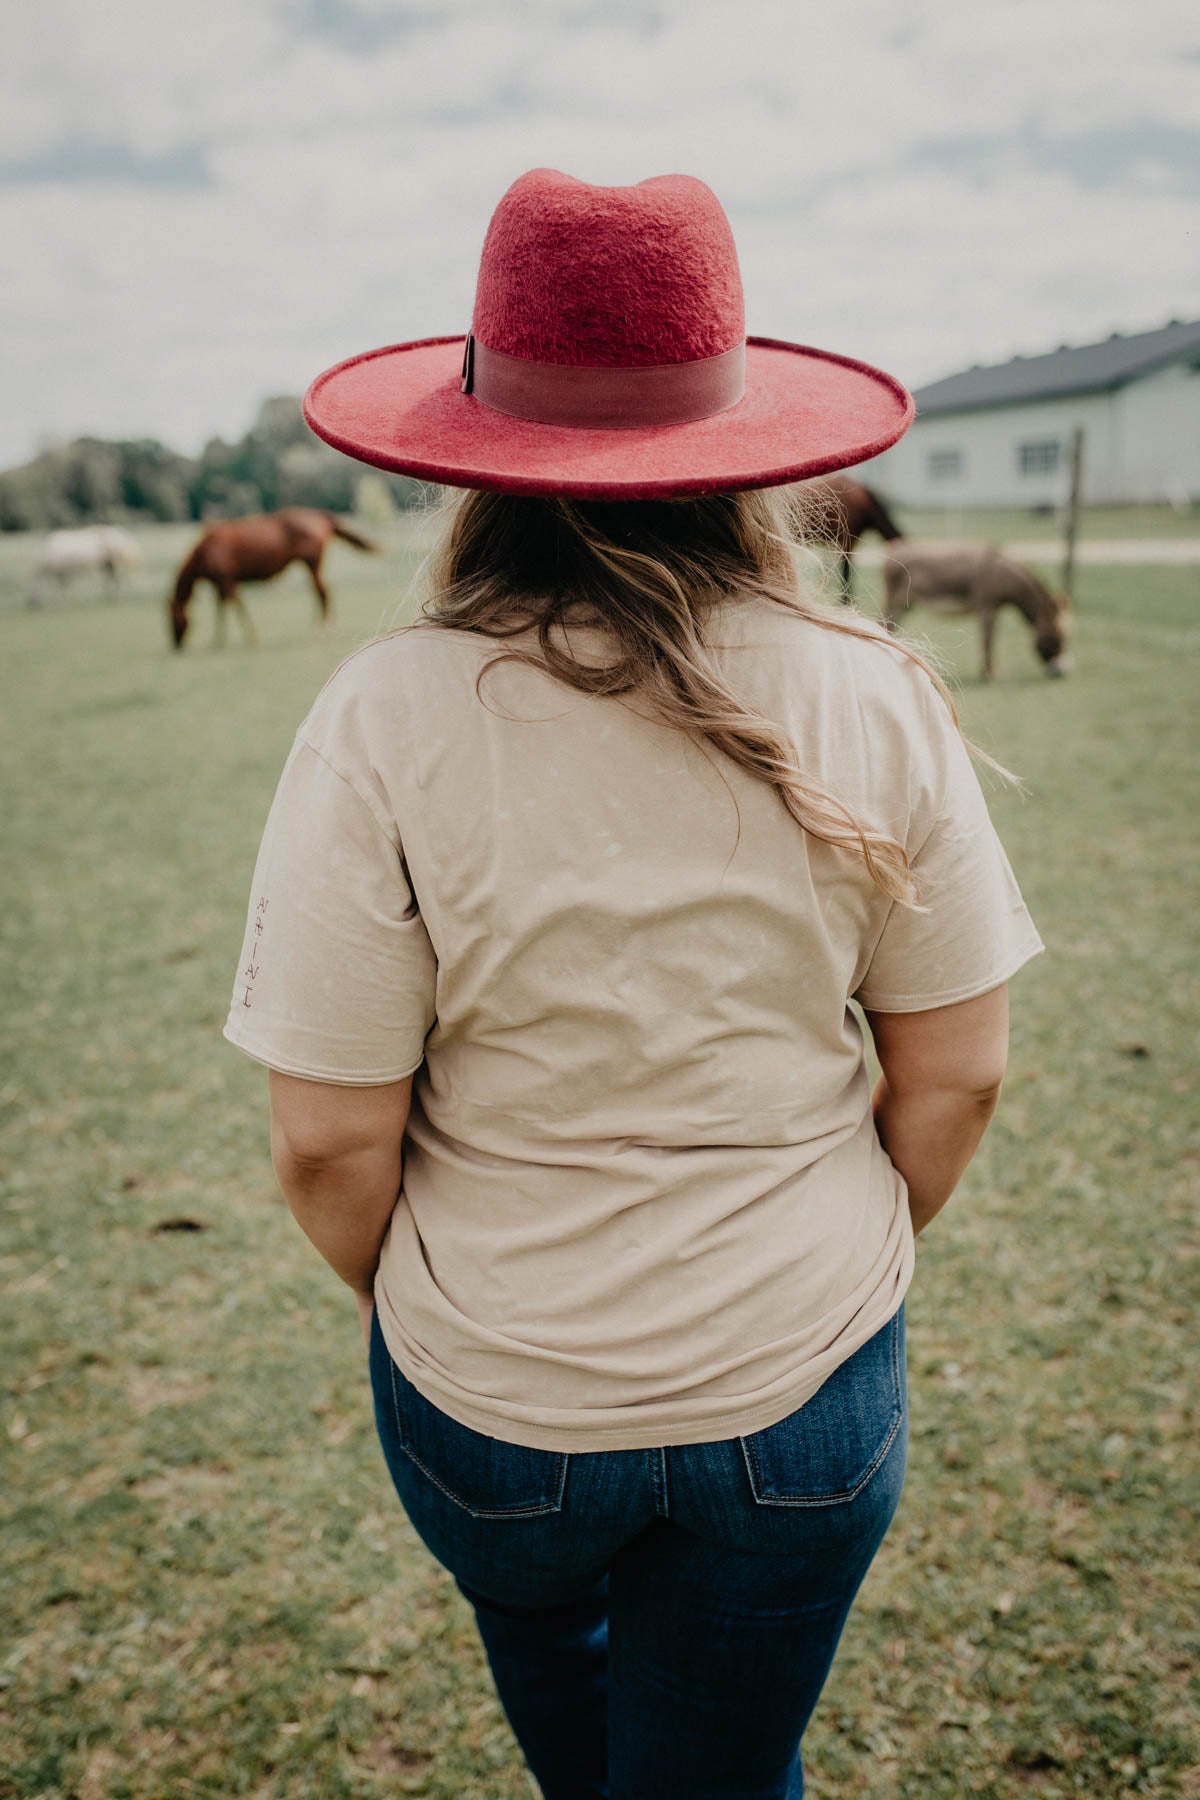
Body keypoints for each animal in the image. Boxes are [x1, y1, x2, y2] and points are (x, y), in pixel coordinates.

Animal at [169, 507, 376, 648]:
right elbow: (222, 608)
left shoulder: (226, 578)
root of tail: (321, 517)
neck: (202, 555)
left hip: (312, 562)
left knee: (323, 592)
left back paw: (322, 628)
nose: (176, 645)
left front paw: (250, 637)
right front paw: (219, 640)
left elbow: (235, 605)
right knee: (321, 591)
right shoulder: (221, 582)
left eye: (172, 617)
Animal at [881, 540, 1072, 680]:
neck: (1001, 573)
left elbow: (990, 638)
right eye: (1053, 637)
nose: (1061, 671)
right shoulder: (986, 608)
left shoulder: (993, 610)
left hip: (906, 605)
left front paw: (987, 672)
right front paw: (989, 674)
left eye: (1065, 636)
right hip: (894, 599)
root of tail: (895, 550)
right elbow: (987, 639)